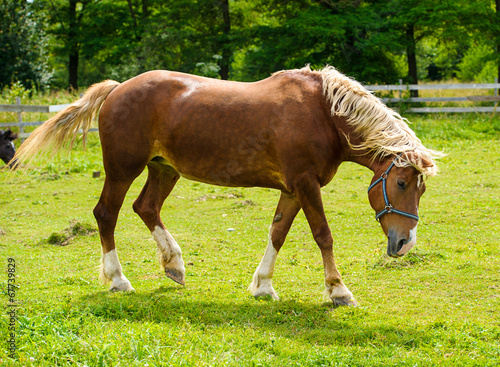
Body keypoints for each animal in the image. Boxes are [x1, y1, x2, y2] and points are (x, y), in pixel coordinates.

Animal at [13, 67, 440, 308]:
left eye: (420, 190)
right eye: (401, 182)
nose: (404, 243)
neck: (323, 113)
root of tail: (118, 89)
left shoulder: (293, 188)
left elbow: (278, 233)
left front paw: (263, 287)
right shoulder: (306, 184)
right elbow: (323, 235)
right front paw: (338, 292)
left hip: (164, 170)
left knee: (146, 208)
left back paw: (174, 265)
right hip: (123, 169)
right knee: (106, 214)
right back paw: (119, 280)